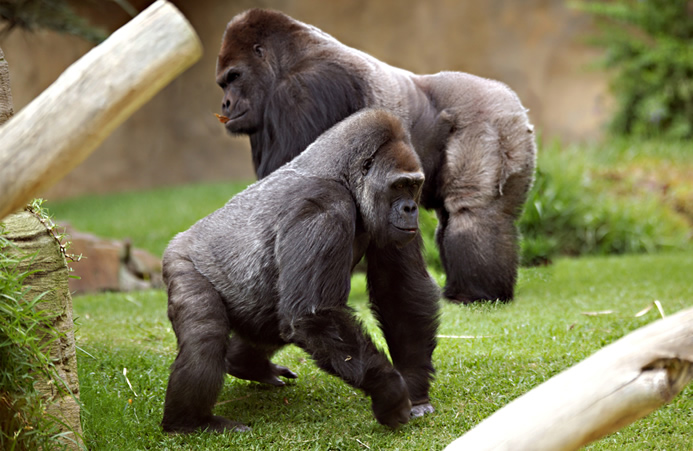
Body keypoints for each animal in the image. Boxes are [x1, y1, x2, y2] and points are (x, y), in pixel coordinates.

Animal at [161, 109, 438, 434]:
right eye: (398, 186)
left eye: (414, 186)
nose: (411, 209)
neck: (343, 176)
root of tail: (179, 239)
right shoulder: (322, 209)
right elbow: (313, 315)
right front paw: (390, 391)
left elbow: (400, 290)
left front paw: (415, 387)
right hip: (180, 261)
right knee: (205, 336)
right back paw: (190, 422)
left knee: (269, 316)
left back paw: (246, 364)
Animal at [216, 7, 536, 304]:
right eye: (223, 83)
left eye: (234, 76)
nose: (225, 104)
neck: (290, 58)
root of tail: (513, 103)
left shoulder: (301, 91)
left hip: (492, 122)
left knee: (473, 211)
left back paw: (475, 292)